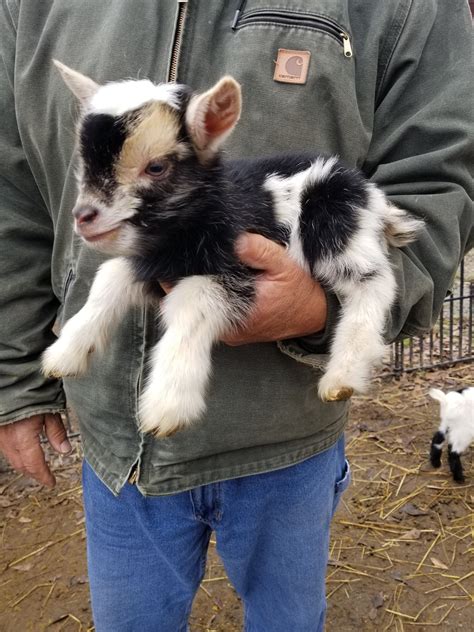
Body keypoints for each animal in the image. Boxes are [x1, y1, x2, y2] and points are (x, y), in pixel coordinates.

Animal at [43, 64, 422, 436]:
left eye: (156, 167)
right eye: (85, 165)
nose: (84, 217)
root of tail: (367, 191)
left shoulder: (232, 269)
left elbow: (191, 304)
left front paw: (168, 404)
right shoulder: (156, 263)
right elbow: (108, 280)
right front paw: (64, 354)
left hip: (333, 223)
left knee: (372, 282)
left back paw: (342, 376)